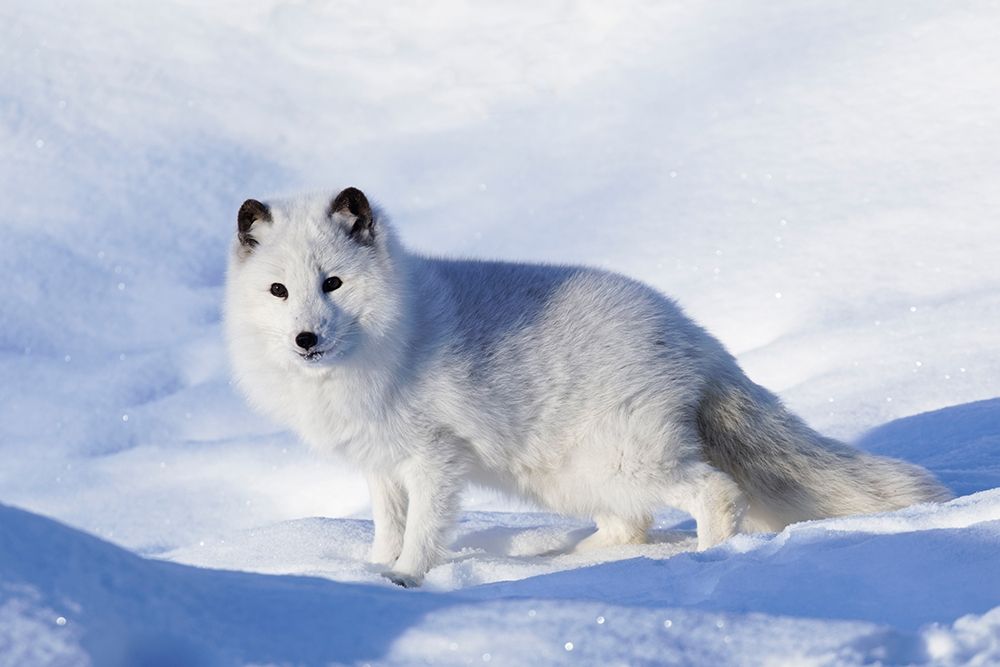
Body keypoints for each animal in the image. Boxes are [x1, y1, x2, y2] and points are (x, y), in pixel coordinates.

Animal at [224, 187, 951, 587]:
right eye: (279, 290)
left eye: (334, 283)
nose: (306, 339)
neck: (392, 337)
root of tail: (693, 334)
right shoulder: (381, 465)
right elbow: (387, 524)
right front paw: (368, 572)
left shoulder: (433, 459)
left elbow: (424, 529)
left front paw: (405, 577)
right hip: (576, 475)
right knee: (629, 525)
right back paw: (565, 558)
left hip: (627, 459)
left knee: (716, 491)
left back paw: (705, 559)